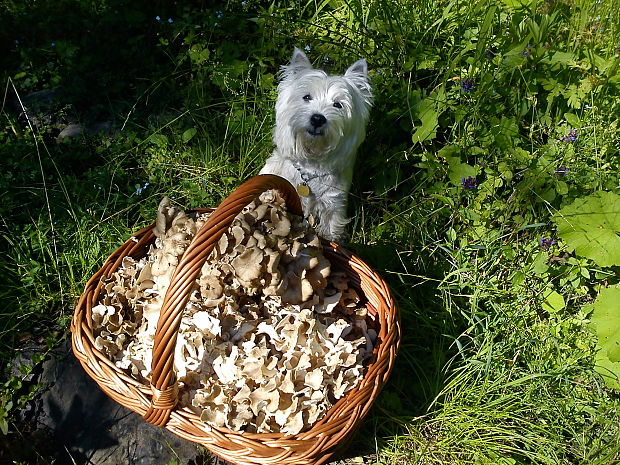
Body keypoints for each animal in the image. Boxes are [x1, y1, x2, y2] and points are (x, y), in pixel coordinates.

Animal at [258, 48, 370, 241]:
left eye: (338, 104)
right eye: (306, 97)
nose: (318, 118)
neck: (311, 168)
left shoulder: (334, 205)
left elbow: (330, 232)